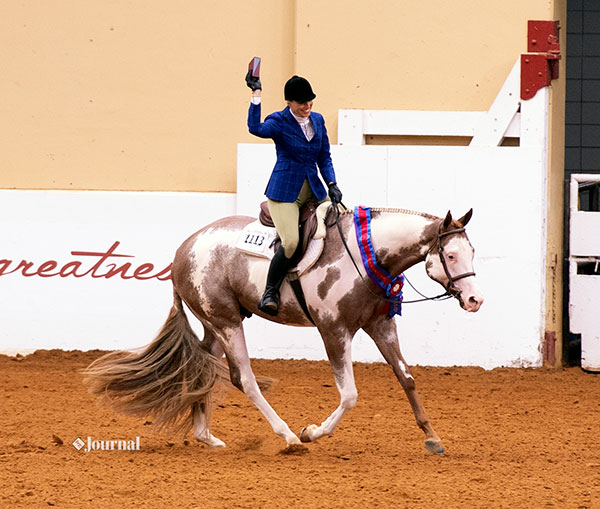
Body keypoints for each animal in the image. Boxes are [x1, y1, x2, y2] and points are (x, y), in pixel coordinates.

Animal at [83, 204, 482, 454]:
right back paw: (287, 436)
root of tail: (185, 248)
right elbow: (349, 394)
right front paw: (312, 433)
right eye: (450, 255)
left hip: (215, 325)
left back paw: (206, 437)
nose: (475, 300)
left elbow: (407, 379)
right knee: (244, 379)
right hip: (226, 323)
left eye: (472, 252)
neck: (365, 255)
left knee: (202, 371)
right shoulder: (334, 331)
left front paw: (432, 438)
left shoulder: (380, 326)